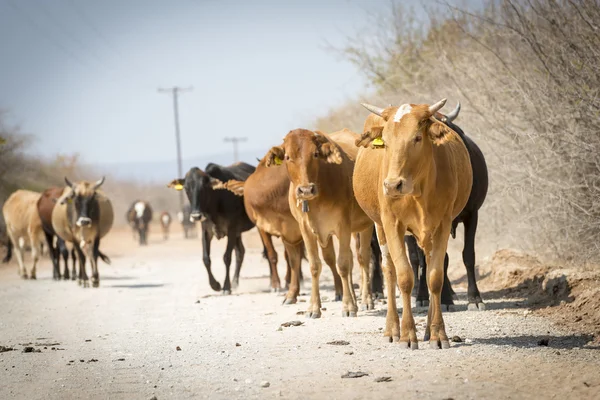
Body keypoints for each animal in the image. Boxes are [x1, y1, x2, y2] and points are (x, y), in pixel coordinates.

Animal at [169, 162, 255, 294]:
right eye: (186, 188)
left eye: (204, 188)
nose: (196, 216)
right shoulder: (206, 232)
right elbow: (206, 258)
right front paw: (215, 285)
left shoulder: (231, 230)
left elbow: (227, 257)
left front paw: (226, 287)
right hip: (238, 233)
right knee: (240, 252)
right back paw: (235, 282)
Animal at [264, 130, 372, 318]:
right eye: (287, 156)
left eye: (315, 154)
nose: (306, 190)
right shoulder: (306, 229)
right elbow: (315, 266)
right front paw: (314, 307)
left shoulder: (343, 225)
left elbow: (342, 264)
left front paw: (348, 306)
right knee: (353, 258)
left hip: (368, 225)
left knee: (363, 258)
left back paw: (366, 299)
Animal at [352, 98, 474, 348]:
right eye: (385, 141)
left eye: (417, 137)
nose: (392, 185)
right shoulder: (392, 224)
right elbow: (404, 277)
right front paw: (407, 334)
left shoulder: (443, 224)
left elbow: (435, 277)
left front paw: (438, 333)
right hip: (380, 227)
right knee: (389, 270)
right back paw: (392, 328)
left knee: (428, 268)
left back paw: (427, 330)